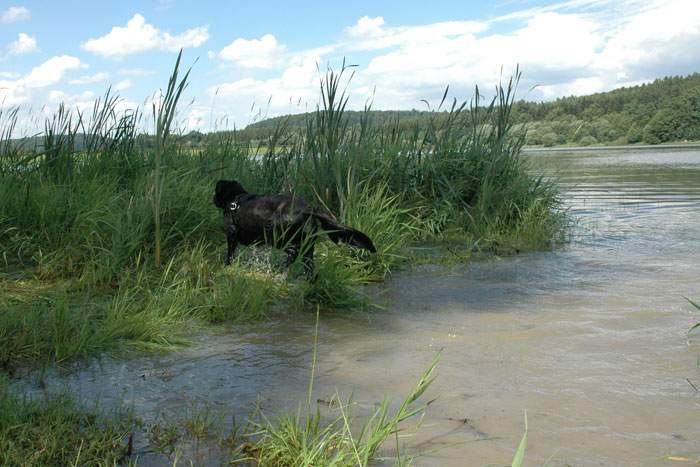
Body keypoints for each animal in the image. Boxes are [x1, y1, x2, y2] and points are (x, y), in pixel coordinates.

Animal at [213, 179, 378, 274]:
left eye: (216, 190)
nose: (213, 198)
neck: (236, 199)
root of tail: (309, 209)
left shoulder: (231, 234)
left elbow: (230, 254)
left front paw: (226, 266)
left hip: (278, 235)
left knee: (293, 252)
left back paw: (280, 267)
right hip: (308, 246)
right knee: (307, 265)